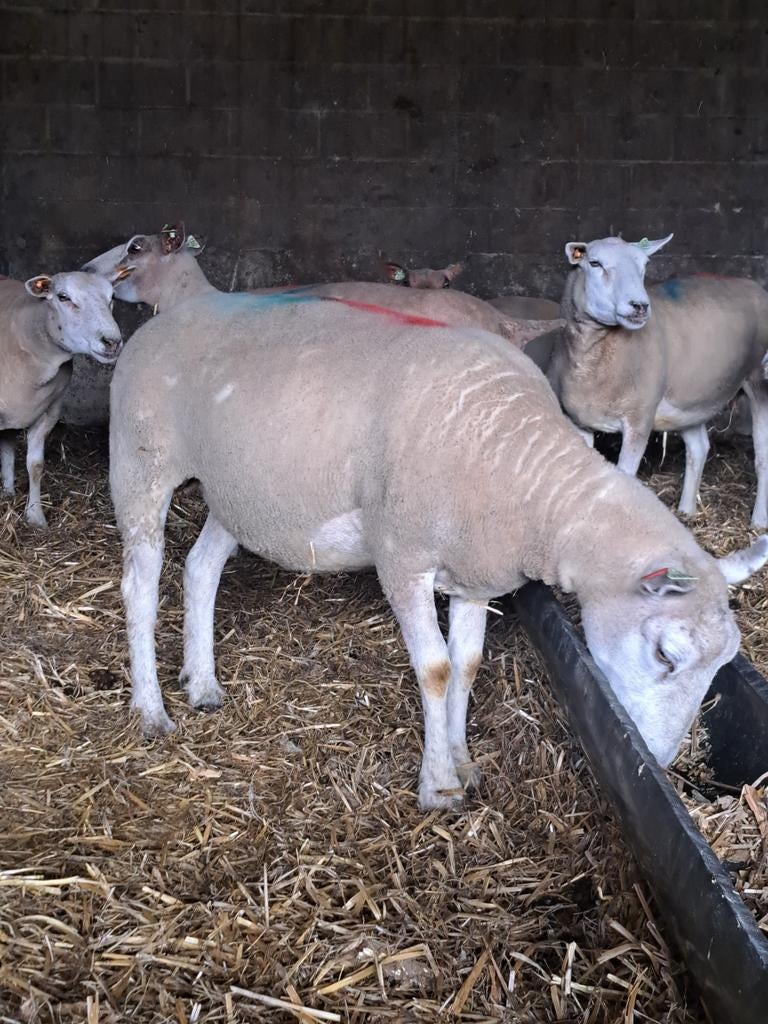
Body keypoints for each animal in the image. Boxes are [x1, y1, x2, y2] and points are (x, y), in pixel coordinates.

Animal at [0, 271, 121, 527]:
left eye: (112, 297)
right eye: (63, 297)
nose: (112, 342)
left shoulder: (49, 412)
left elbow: (35, 466)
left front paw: (35, 516)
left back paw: (8, 491)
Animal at [86, 230, 768, 810]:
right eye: (666, 653)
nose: (660, 760)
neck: (523, 475)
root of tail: (167, 318)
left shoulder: (475, 569)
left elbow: (467, 663)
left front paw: (462, 760)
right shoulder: (403, 557)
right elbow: (436, 668)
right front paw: (438, 786)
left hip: (239, 489)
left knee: (200, 571)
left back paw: (202, 684)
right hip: (141, 464)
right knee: (140, 585)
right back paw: (151, 709)